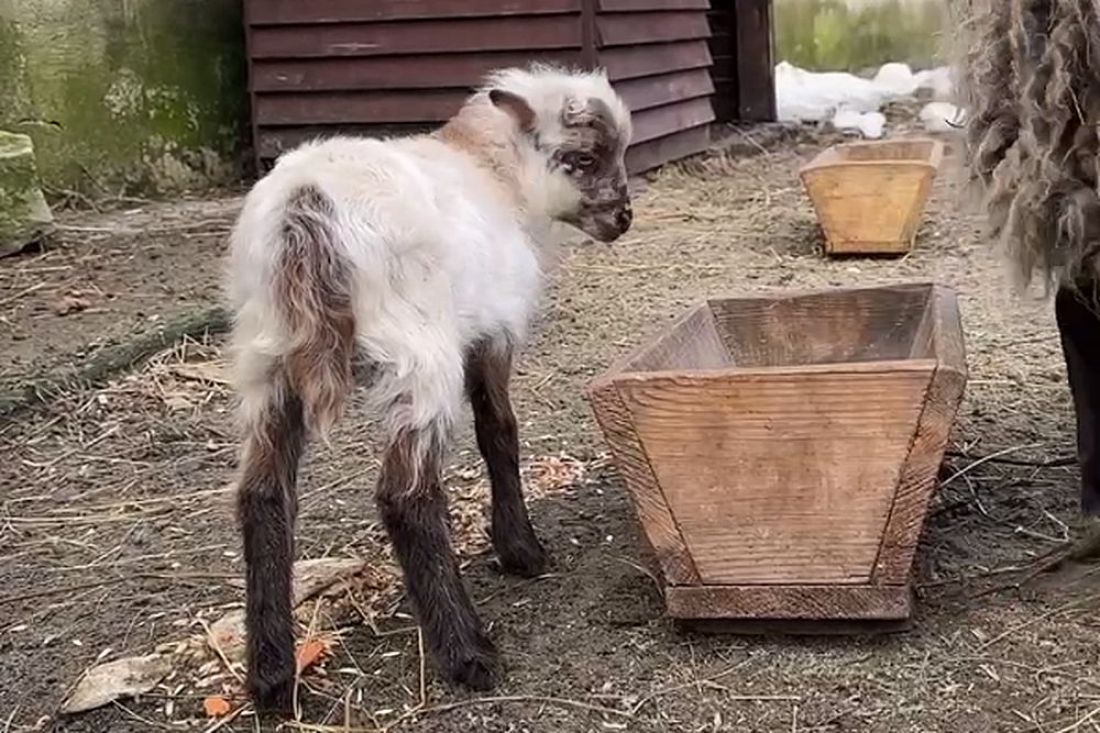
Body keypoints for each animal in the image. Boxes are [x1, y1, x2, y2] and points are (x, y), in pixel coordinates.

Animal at [223, 64, 633, 708]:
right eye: (586, 157)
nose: (623, 219)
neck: (491, 171)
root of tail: (305, 211)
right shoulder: (492, 331)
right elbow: (499, 431)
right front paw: (520, 549)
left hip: (266, 358)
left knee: (263, 497)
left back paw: (272, 678)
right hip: (417, 354)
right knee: (406, 496)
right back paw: (468, 651)